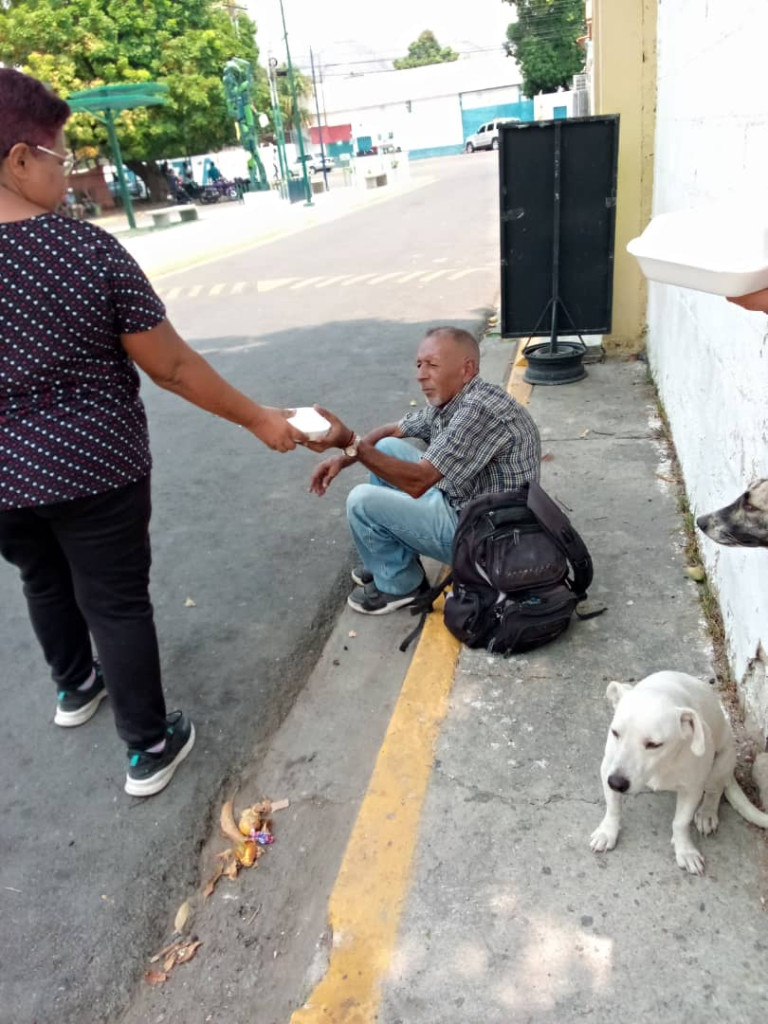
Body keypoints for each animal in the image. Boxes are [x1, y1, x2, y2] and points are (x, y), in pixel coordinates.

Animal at [589, 671, 768, 872]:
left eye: (654, 744)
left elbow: (681, 822)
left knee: (715, 791)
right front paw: (607, 832)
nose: (616, 783)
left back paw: (707, 812)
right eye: (615, 732)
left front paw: (685, 850)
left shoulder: (692, 789)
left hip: (721, 763)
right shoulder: (607, 769)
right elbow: (613, 808)